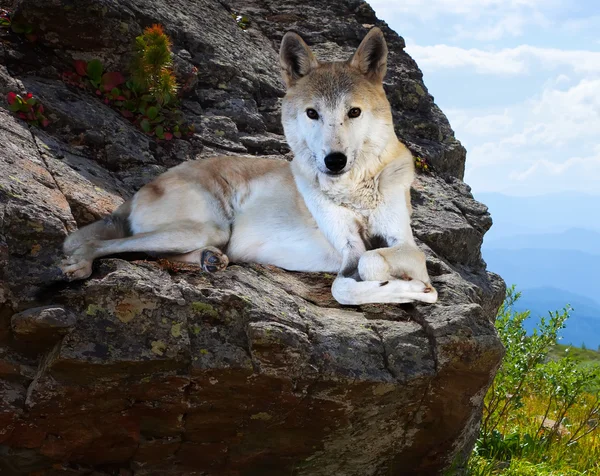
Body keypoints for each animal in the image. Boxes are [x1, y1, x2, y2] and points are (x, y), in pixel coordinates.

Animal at [59, 28, 436, 304]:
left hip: (205, 235)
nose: (334, 161)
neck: (353, 191)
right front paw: (412, 289)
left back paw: (210, 260)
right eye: (312, 113)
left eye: (354, 112)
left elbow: (374, 261)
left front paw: (413, 288)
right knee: (104, 245)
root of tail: (142, 189)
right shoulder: (349, 250)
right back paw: (80, 263)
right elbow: (347, 283)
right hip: (203, 228)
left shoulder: (403, 242)